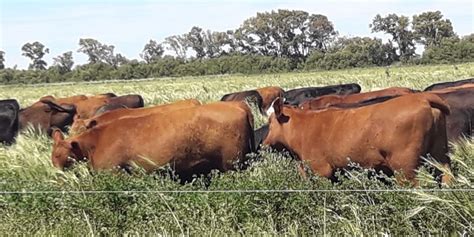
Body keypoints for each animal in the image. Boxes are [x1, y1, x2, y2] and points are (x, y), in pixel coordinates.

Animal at [262, 93, 452, 184]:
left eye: (270, 122)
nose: (263, 144)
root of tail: (422, 98)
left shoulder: (321, 170)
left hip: (405, 168)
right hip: (440, 155)